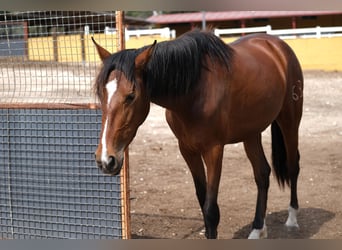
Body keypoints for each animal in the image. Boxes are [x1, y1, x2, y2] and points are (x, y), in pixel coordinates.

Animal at [92, 30, 304, 239]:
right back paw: (258, 229)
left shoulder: (214, 150)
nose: (106, 160)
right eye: (101, 94)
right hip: (251, 133)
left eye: (131, 96)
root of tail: (276, 45)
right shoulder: (188, 150)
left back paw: (292, 219)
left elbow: (211, 211)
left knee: (293, 167)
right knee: (262, 173)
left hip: (290, 122)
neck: (195, 91)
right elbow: (202, 201)